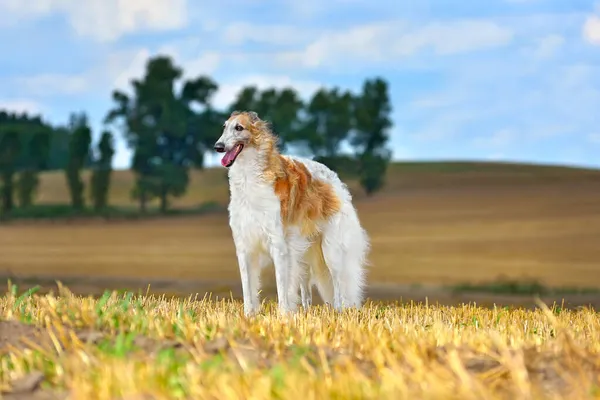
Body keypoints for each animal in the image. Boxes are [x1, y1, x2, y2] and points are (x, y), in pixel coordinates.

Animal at [213, 110, 368, 316]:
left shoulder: (278, 243)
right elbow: (248, 288)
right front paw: (249, 316)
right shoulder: (244, 244)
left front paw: (283, 315)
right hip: (304, 252)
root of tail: (336, 180)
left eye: (239, 128)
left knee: (339, 284)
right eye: (224, 127)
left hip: (332, 250)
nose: (218, 147)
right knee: (306, 290)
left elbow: (282, 286)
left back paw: (339, 311)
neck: (249, 178)